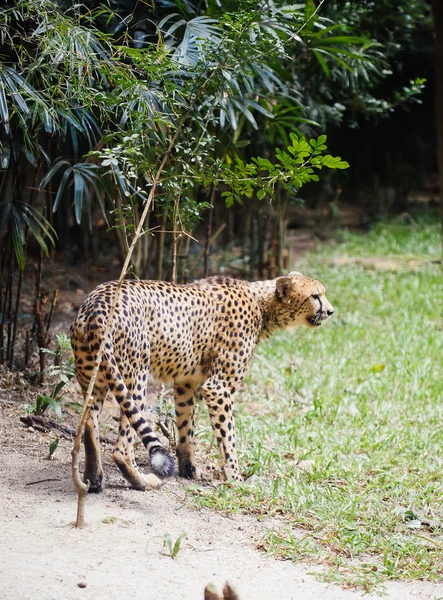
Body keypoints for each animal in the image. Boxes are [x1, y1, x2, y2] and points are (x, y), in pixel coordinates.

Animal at [71, 274, 332, 492]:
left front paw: (190, 470)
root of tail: (97, 301)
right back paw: (144, 481)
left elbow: (187, 430)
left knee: (89, 425)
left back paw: (94, 480)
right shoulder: (219, 387)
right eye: (315, 296)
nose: (330, 311)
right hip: (135, 377)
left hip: (93, 379)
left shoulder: (186, 382)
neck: (263, 304)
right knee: (121, 449)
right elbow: (227, 438)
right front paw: (236, 479)